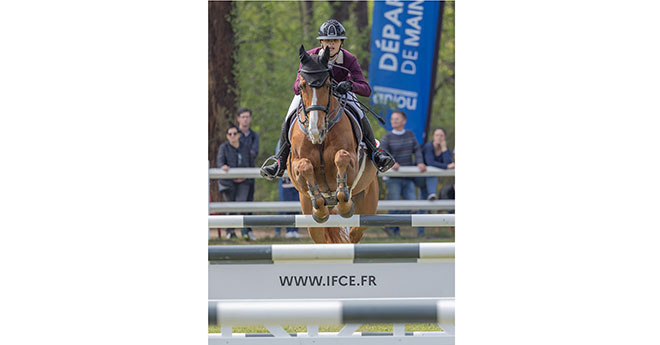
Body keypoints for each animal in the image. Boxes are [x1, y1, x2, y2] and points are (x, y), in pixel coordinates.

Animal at [286, 45, 378, 243]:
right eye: (302, 85)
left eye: (328, 85)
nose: (315, 130)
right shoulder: (296, 164)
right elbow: (305, 166)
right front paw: (319, 205)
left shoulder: (352, 159)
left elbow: (341, 158)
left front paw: (344, 203)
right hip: (309, 218)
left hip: (367, 205)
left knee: (355, 232)